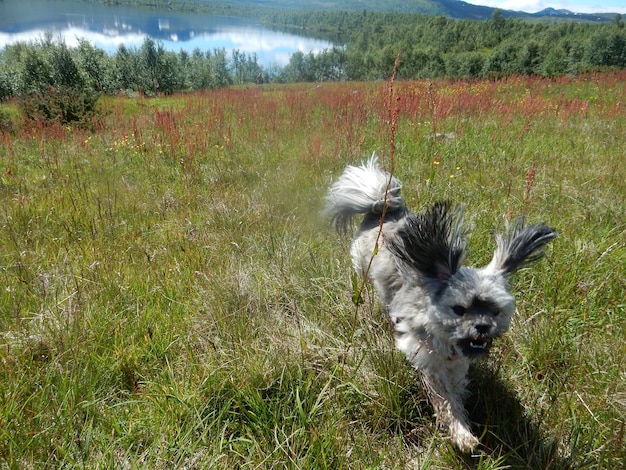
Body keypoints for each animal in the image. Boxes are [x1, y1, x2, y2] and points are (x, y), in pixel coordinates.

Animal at [322, 155, 556, 452]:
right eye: (459, 309)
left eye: (495, 311)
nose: (482, 327)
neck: (445, 339)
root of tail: (383, 207)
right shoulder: (430, 363)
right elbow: (445, 401)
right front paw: (461, 434)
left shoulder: (457, 366)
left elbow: (456, 394)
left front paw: (462, 424)